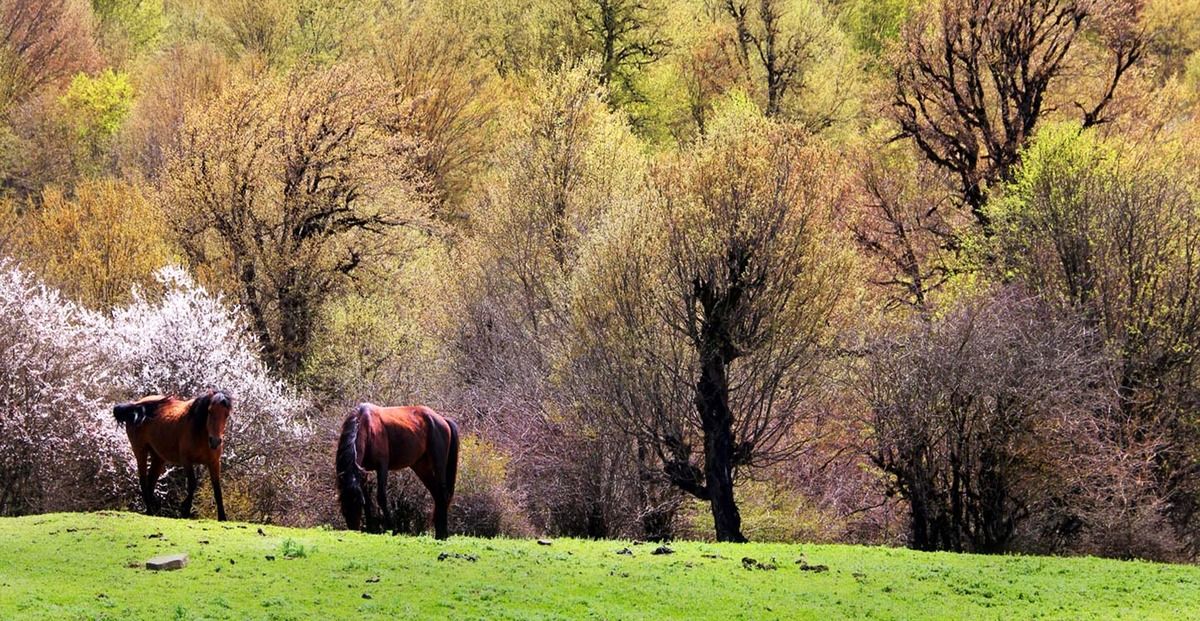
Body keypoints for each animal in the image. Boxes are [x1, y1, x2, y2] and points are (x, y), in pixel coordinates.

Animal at [113, 393, 232, 522]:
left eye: (226, 414)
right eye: (209, 411)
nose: (215, 441)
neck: (200, 432)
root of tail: (137, 405)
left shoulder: (214, 463)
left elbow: (217, 488)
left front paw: (222, 517)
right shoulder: (187, 461)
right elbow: (192, 484)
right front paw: (185, 510)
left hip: (158, 458)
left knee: (151, 481)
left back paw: (152, 510)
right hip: (140, 452)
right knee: (143, 481)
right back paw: (150, 510)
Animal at [338, 405, 458, 539]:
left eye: (357, 504)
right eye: (344, 507)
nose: (353, 530)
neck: (367, 426)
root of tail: (442, 419)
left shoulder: (382, 466)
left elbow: (381, 497)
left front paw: (392, 528)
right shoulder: (362, 471)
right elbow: (368, 500)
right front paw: (371, 528)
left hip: (439, 465)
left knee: (443, 494)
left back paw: (443, 534)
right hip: (421, 467)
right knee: (437, 495)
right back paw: (439, 533)